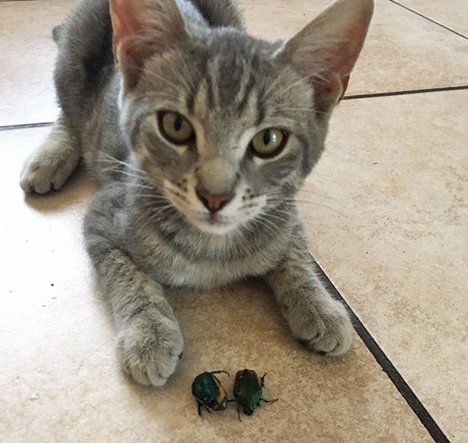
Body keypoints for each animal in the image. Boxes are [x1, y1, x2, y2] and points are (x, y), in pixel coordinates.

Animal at [20, 0, 373, 386]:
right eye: (175, 126)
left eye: (269, 140)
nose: (215, 196)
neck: (212, 247)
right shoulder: (103, 217)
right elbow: (127, 275)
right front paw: (148, 333)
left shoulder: (287, 215)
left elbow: (295, 256)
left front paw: (318, 305)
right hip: (72, 62)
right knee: (71, 113)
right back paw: (49, 158)